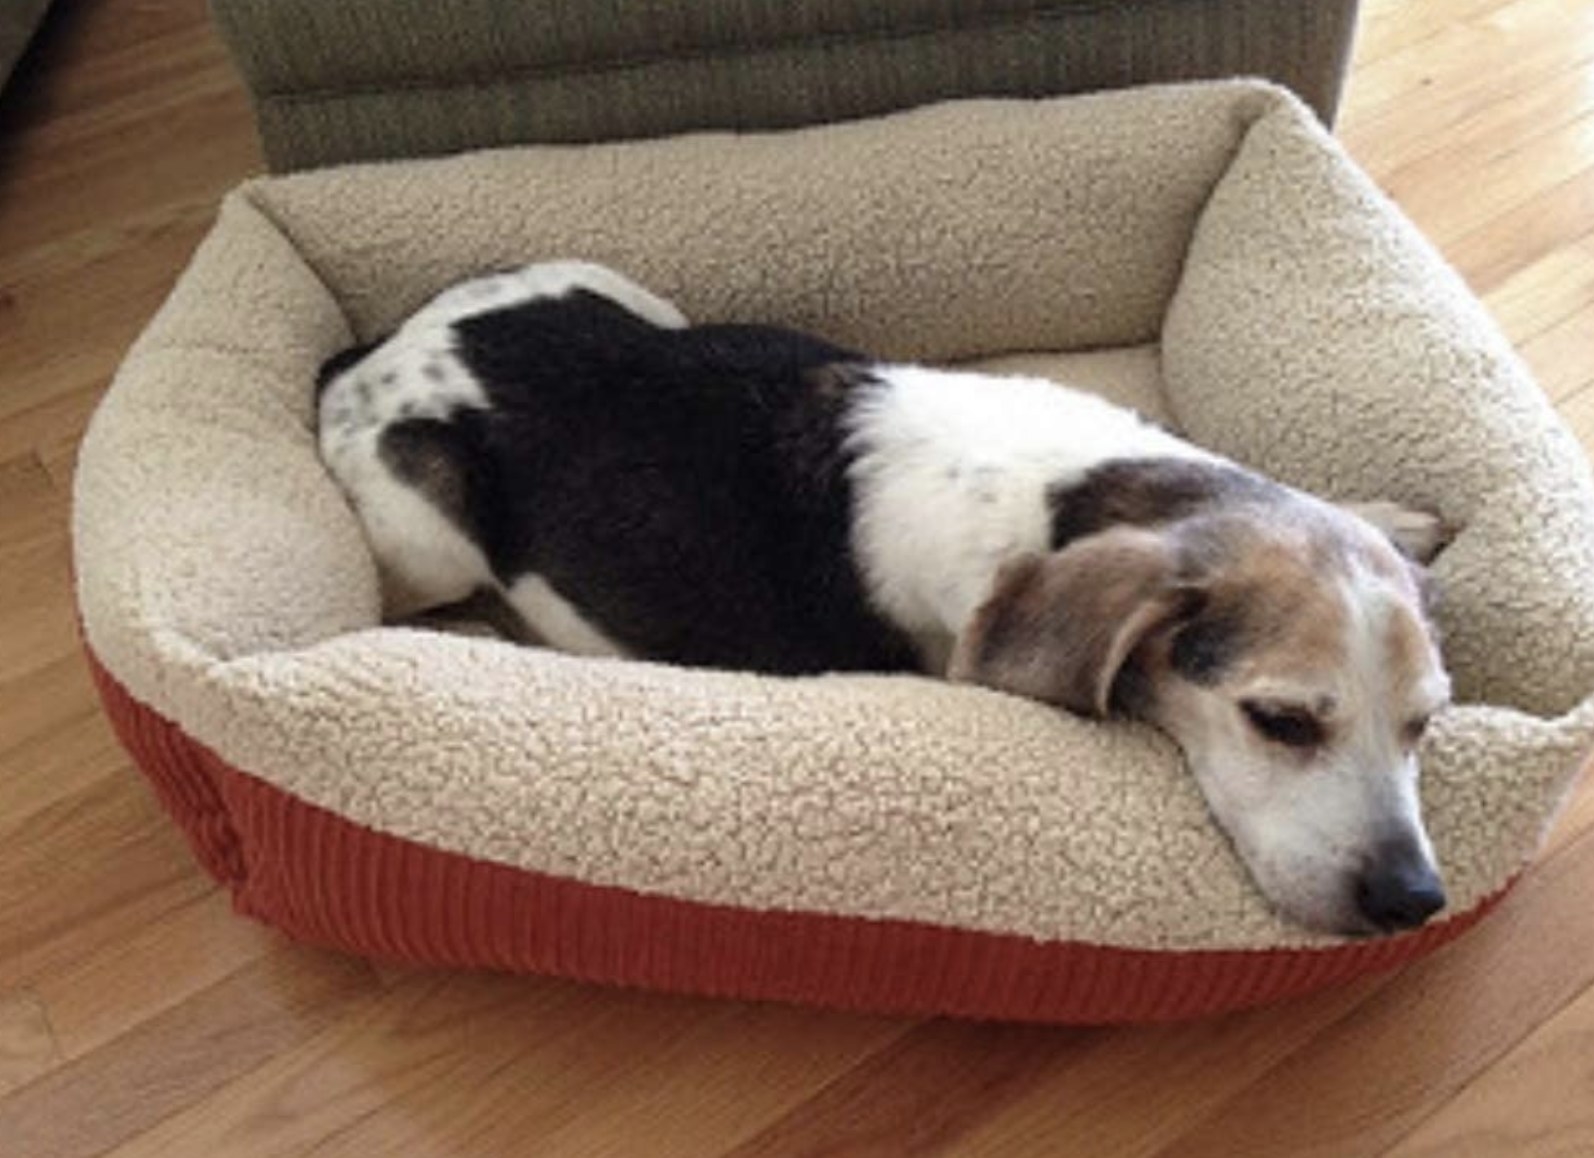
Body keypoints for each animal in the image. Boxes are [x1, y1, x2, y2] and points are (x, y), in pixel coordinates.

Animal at [317, 261, 1453, 931]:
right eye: (1280, 721)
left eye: (1423, 725)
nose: (1415, 900)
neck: (1072, 495)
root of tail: (368, 355)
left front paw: (1396, 519)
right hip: (427, 530)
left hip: (628, 289)